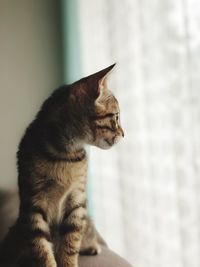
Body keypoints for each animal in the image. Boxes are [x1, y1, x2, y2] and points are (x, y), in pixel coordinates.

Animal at [0, 64, 124, 267]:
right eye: (116, 117)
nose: (123, 134)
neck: (65, 154)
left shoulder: (76, 200)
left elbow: (71, 242)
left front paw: (68, 261)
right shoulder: (33, 204)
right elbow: (41, 247)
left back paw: (92, 247)